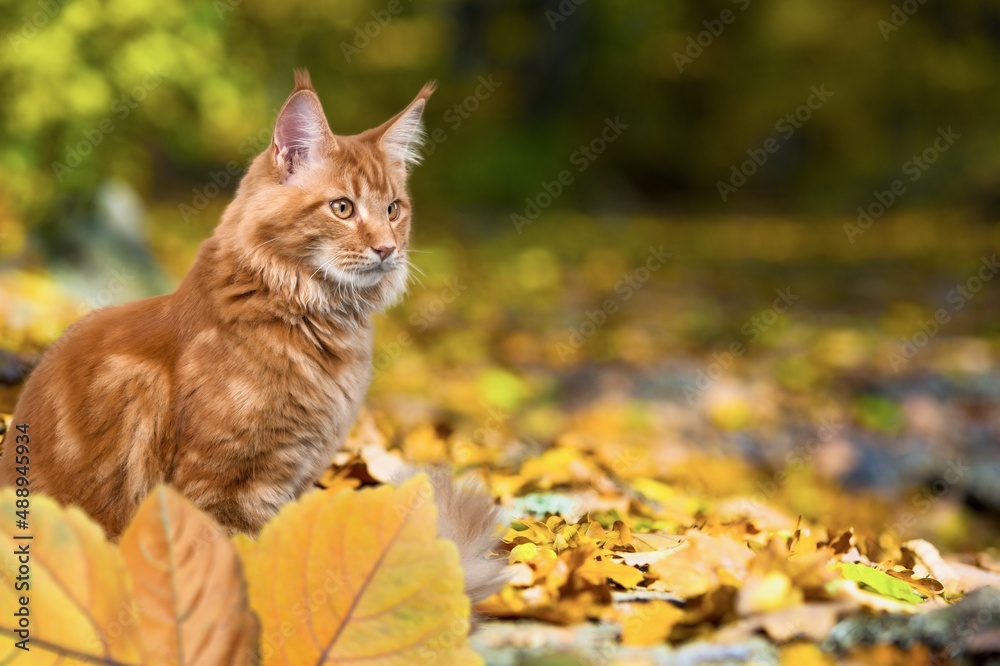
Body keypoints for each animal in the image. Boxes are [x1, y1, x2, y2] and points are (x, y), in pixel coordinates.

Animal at [1, 71, 508, 600]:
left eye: (393, 210)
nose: (388, 248)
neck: (309, 317)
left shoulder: (294, 473)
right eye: (342, 208)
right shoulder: (222, 484)